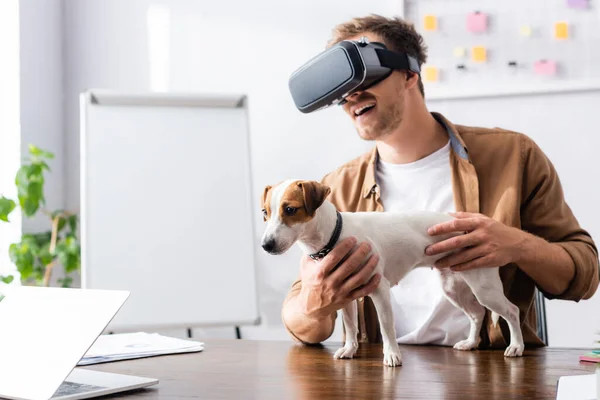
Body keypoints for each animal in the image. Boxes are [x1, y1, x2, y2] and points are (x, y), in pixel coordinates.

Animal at [260, 180, 524, 368]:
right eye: (264, 212)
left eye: (290, 209)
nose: (265, 245)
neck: (335, 235)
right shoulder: (343, 296)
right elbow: (351, 326)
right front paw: (350, 349)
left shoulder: (380, 291)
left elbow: (387, 327)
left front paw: (392, 356)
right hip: (453, 286)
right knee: (477, 314)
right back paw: (470, 343)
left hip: (484, 287)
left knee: (511, 311)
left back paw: (517, 347)